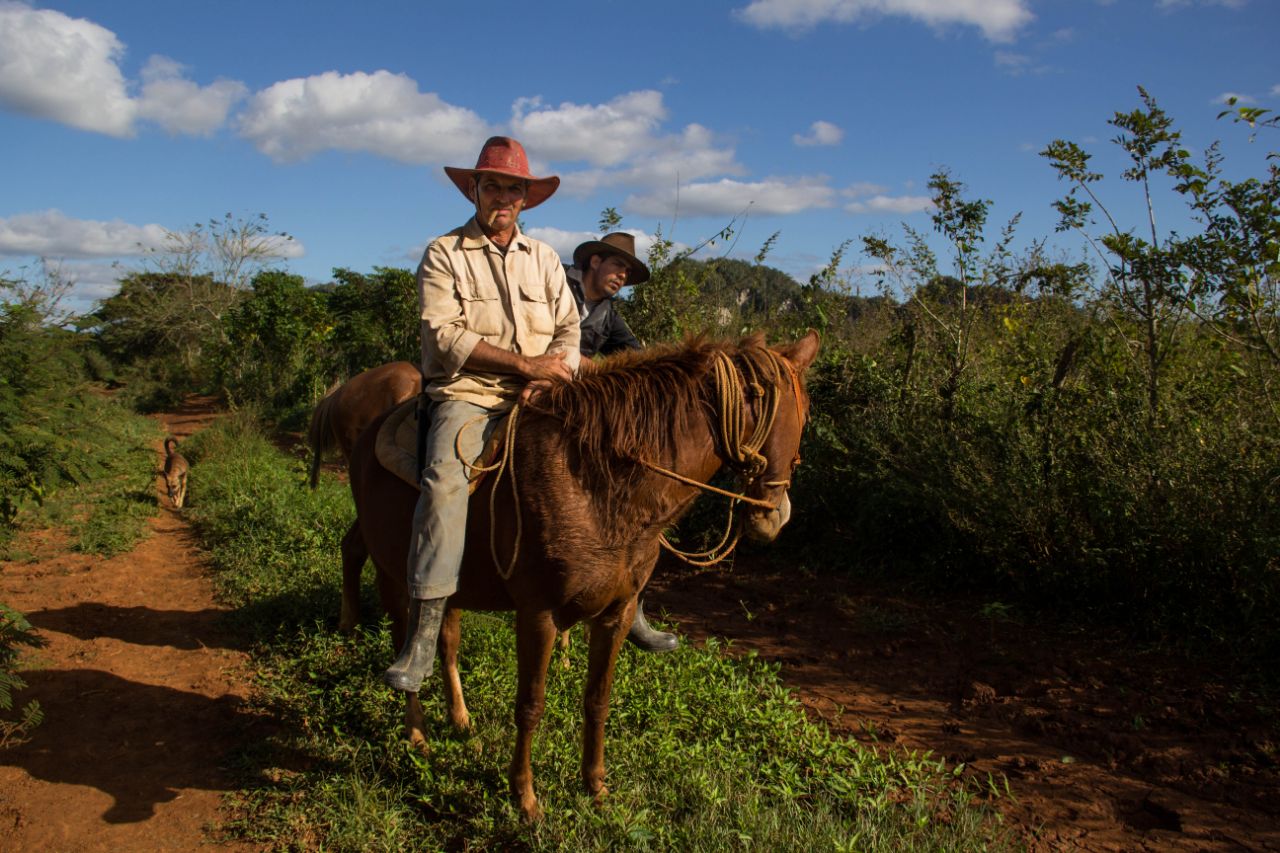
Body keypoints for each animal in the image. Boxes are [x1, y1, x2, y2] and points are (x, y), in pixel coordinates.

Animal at [345, 330, 814, 819]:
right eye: (787, 414)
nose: (774, 516)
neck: (596, 483)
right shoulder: (538, 614)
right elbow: (530, 705)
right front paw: (525, 796)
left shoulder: (617, 613)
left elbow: (597, 699)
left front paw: (595, 785)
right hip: (394, 570)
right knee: (406, 639)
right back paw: (416, 729)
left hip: (455, 585)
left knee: (446, 638)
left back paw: (459, 718)